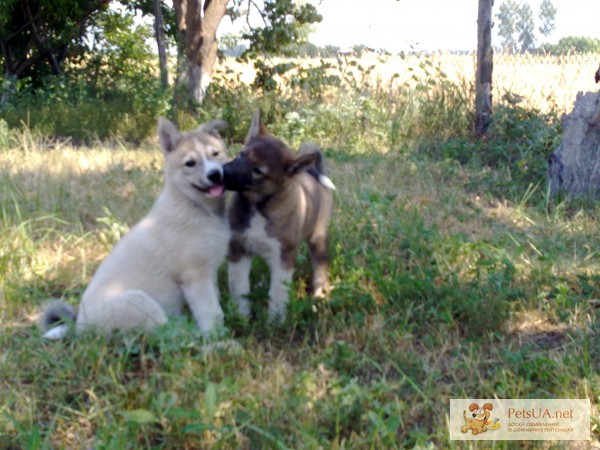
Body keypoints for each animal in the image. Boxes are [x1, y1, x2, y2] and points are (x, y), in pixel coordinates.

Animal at [223, 110, 336, 320]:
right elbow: (239, 286)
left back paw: (319, 297)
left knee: (320, 268)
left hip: (318, 238)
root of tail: (314, 171)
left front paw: (275, 321)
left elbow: (277, 291)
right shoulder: (238, 250)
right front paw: (241, 316)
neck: (259, 207)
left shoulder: (283, 256)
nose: (221, 173)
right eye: (241, 154)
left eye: (258, 171)